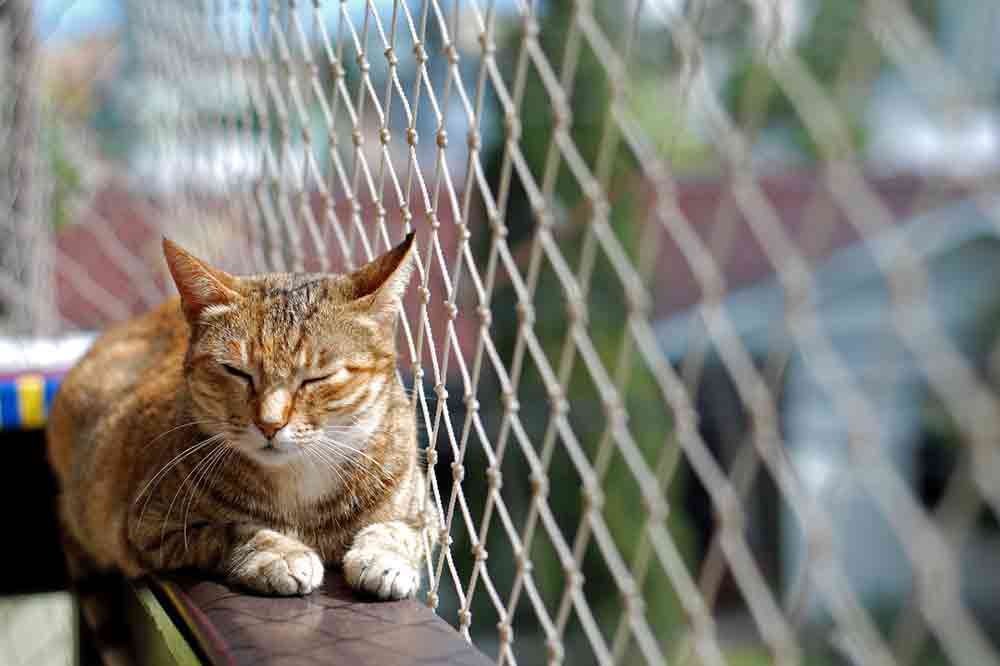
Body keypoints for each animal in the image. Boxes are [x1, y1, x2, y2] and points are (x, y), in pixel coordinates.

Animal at [47, 232, 432, 596]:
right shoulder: (148, 526)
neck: (300, 485)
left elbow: (404, 528)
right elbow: (232, 528)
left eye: (317, 377)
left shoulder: (424, 509)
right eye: (237, 372)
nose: (270, 424)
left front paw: (386, 557)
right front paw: (279, 552)